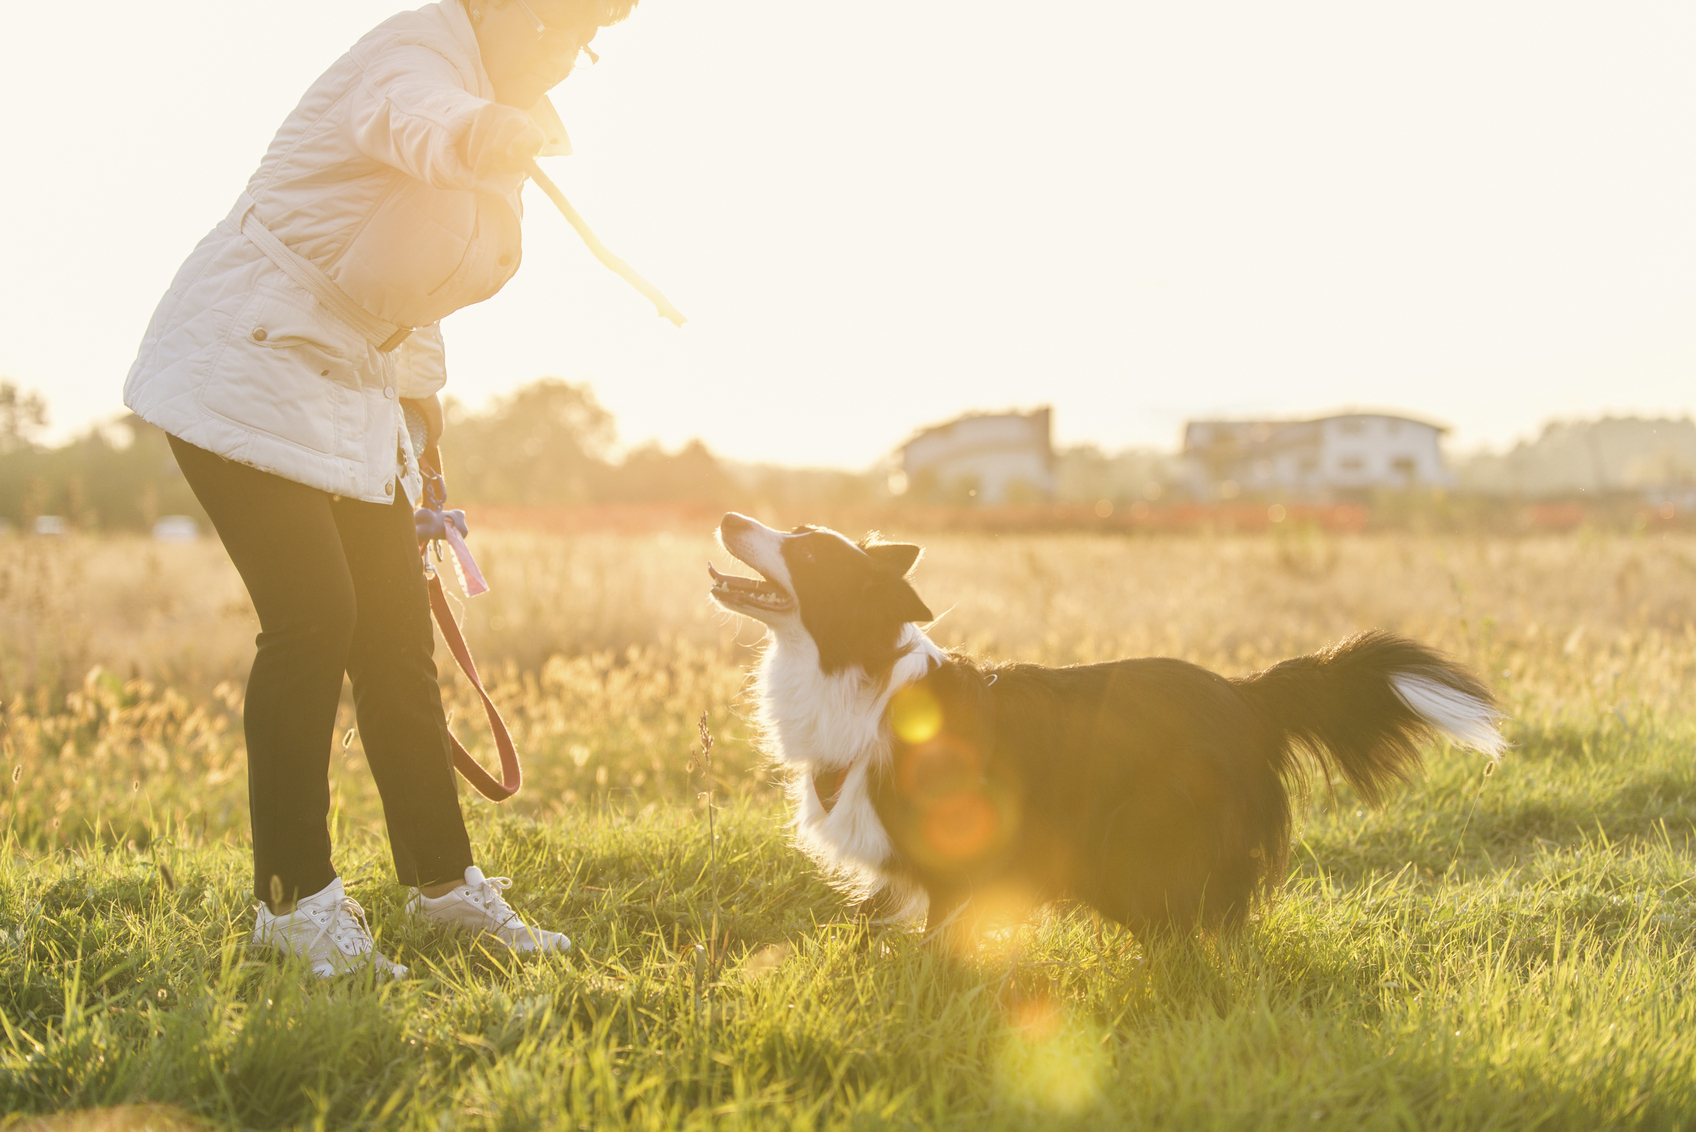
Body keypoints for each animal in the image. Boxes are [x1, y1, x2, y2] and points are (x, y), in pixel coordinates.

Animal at [708, 519, 1506, 943]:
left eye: (809, 553)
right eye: (799, 534)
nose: (729, 519)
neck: (859, 675)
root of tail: (1244, 693)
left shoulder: (958, 849)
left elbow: (942, 940)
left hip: (1146, 830)